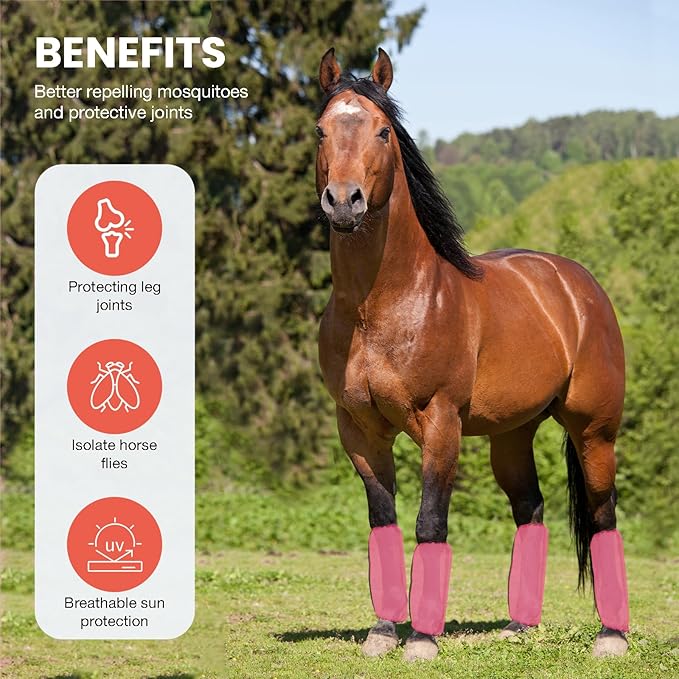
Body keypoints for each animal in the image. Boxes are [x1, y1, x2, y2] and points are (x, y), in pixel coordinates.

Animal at [315, 47, 630, 662]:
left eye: (383, 131)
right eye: (319, 131)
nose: (344, 202)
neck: (381, 307)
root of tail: (577, 284)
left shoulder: (441, 424)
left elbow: (429, 523)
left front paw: (422, 640)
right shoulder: (359, 430)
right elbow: (383, 523)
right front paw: (383, 632)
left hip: (594, 431)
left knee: (603, 513)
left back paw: (611, 636)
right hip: (512, 435)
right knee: (530, 510)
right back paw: (520, 626)